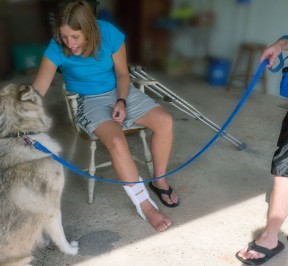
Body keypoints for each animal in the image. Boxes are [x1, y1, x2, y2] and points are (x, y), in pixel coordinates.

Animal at [0, 84, 79, 266]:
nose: (36, 86)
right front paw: (69, 250)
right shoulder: (52, 207)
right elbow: (59, 234)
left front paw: (41, 241)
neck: (19, 133)